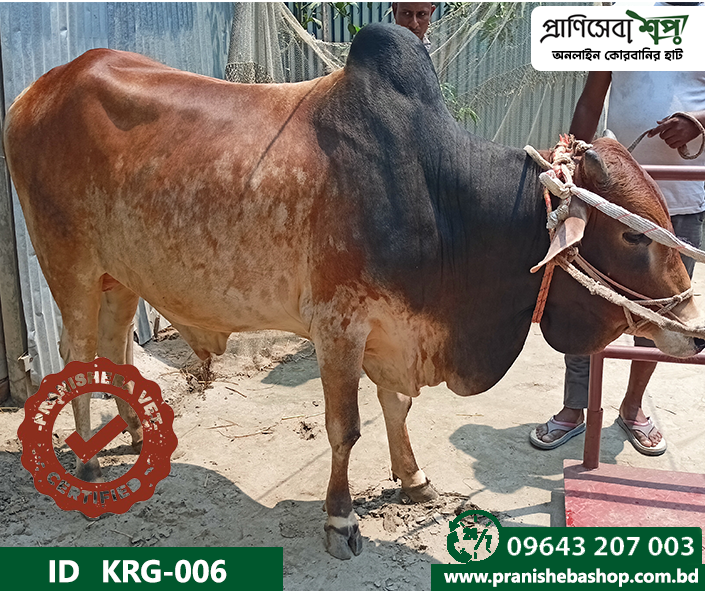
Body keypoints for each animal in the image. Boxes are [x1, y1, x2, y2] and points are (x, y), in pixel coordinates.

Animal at [4, 24, 704, 559]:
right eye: (631, 236)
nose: (694, 324)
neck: (437, 196)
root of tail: (42, 87)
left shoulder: (395, 329)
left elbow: (397, 407)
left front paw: (414, 478)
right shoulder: (338, 325)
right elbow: (346, 428)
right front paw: (341, 520)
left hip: (120, 274)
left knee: (115, 343)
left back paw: (132, 433)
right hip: (68, 265)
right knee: (74, 351)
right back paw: (87, 464)